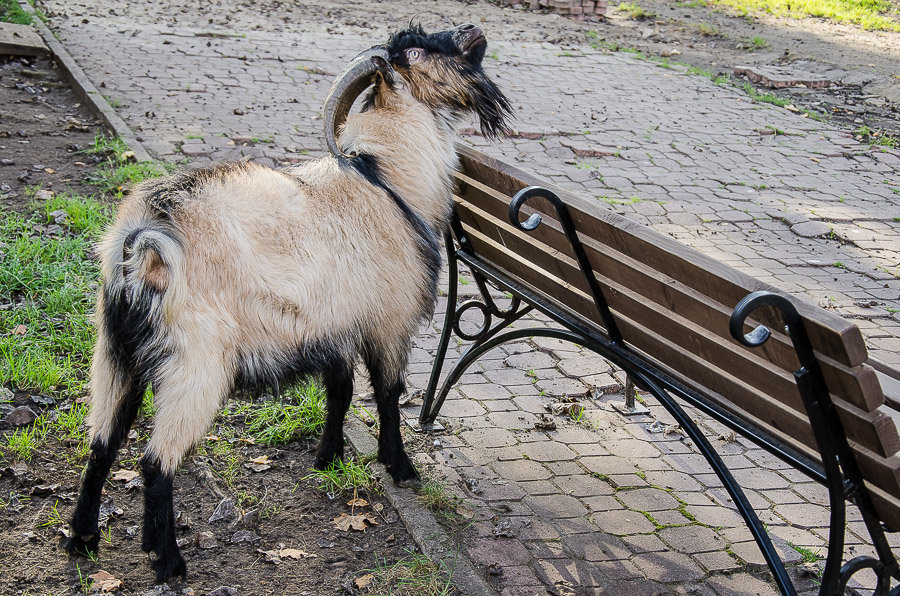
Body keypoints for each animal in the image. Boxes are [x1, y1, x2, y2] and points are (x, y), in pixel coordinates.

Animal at [64, 23, 510, 584]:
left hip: (115, 351)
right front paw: (401, 468)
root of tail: (143, 236)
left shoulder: (333, 327)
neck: (386, 178)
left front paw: (328, 458)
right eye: (416, 50)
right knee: (154, 460)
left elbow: (340, 391)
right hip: (195, 364)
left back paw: (82, 540)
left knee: (102, 444)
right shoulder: (388, 322)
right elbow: (388, 394)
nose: (473, 31)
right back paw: (168, 560)